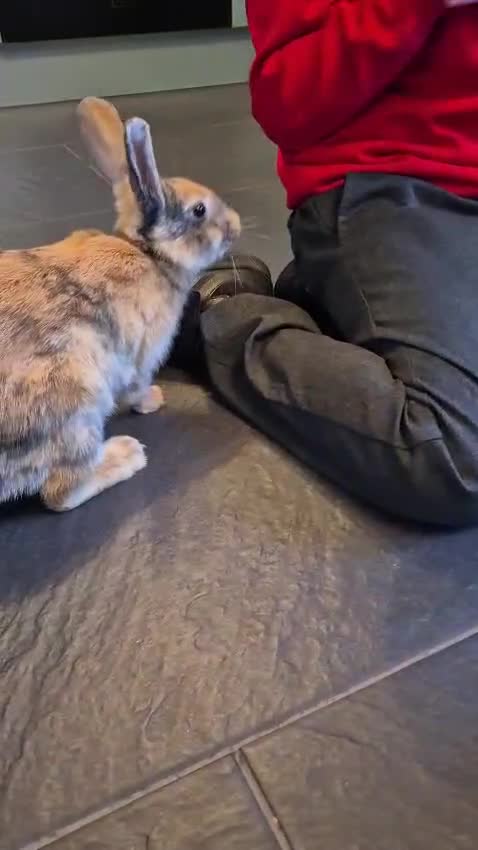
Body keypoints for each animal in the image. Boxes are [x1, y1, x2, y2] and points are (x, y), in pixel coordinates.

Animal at [0, 96, 241, 511]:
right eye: (199, 210)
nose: (236, 224)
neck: (148, 253)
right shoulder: (141, 356)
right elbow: (137, 385)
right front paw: (153, 400)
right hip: (77, 401)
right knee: (60, 493)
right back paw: (126, 454)